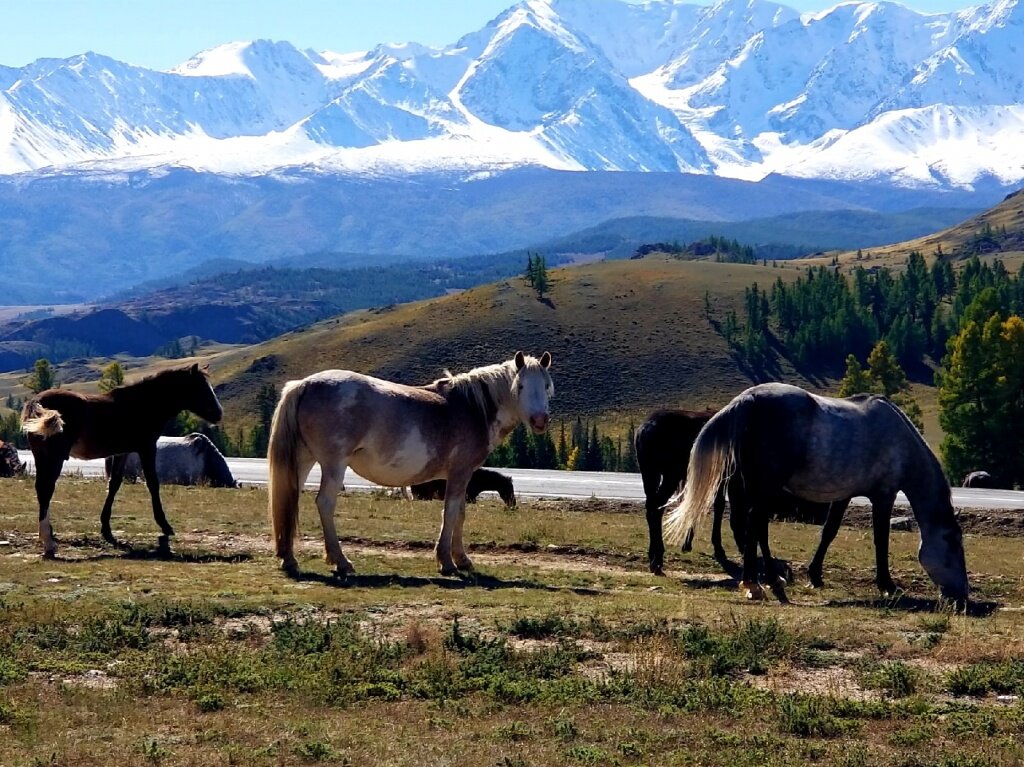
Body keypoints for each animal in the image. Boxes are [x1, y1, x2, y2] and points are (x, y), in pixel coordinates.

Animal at [19, 364, 224, 557]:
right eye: (200, 387)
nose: (218, 414)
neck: (143, 404)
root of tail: (36, 402)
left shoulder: (122, 453)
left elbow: (114, 484)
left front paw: (106, 529)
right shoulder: (146, 448)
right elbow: (153, 484)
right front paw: (165, 525)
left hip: (42, 456)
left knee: (42, 489)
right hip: (54, 456)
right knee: (46, 489)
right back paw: (48, 542)